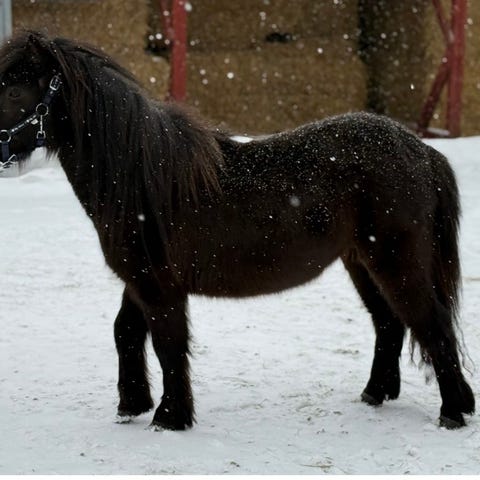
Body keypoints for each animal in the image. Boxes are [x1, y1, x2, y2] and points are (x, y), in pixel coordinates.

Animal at [0, 31, 474, 430]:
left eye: (15, 91)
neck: (144, 178)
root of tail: (423, 150)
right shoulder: (139, 280)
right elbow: (126, 333)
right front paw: (132, 405)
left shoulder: (158, 286)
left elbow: (168, 344)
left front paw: (170, 418)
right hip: (362, 263)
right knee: (390, 323)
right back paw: (376, 394)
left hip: (396, 261)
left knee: (431, 324)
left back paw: (453, 412)